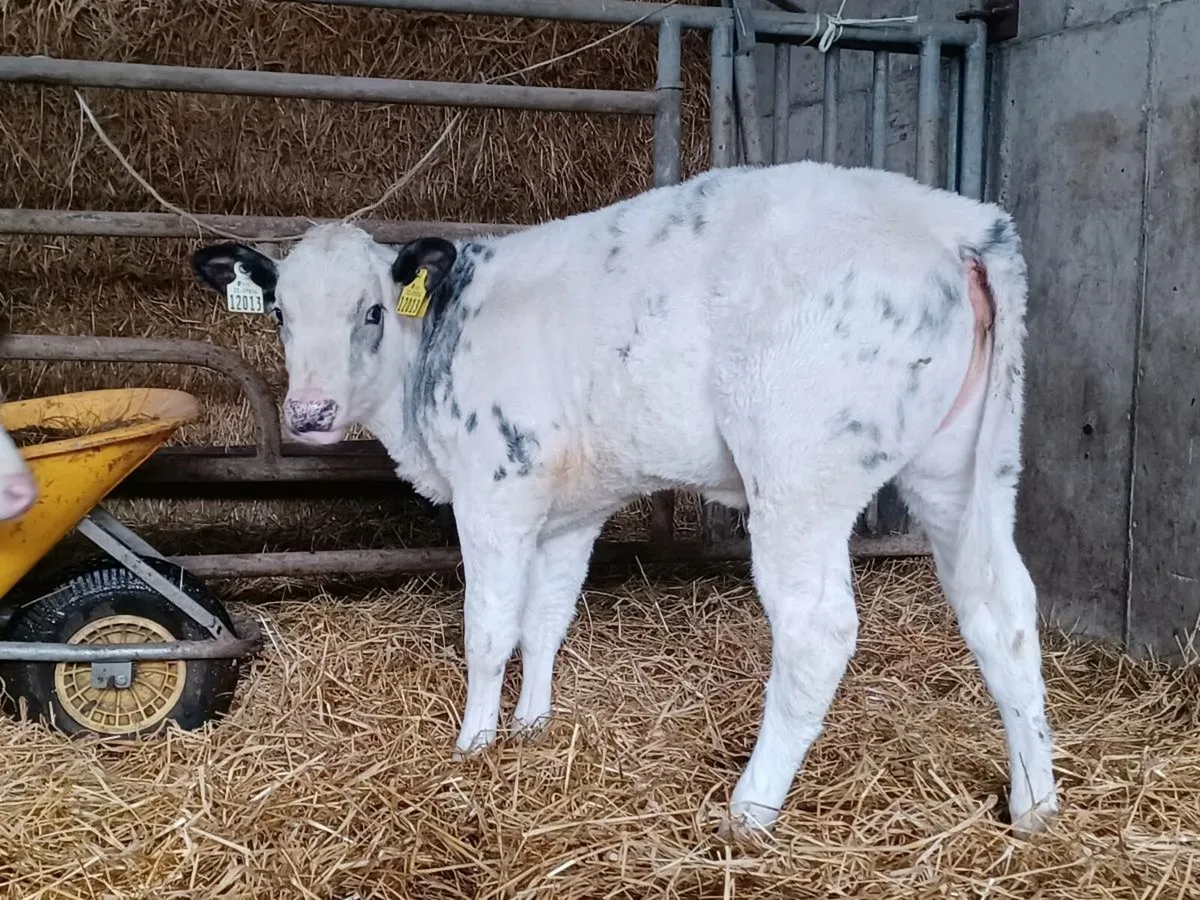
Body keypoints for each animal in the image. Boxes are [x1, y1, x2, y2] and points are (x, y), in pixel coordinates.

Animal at [192, 159, 1058, 839]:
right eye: (279, 312)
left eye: (372, 311)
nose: (309, 413)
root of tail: (953, 219)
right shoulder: (571, 511)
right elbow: (545, 621)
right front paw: (533, 726)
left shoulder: (494, 492)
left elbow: (488, 630)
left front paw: (473, 744)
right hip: (960, 467)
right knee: (1002, 609)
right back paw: (1034, 804)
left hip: (800, 475)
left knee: (818, 631)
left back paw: (749, 809)